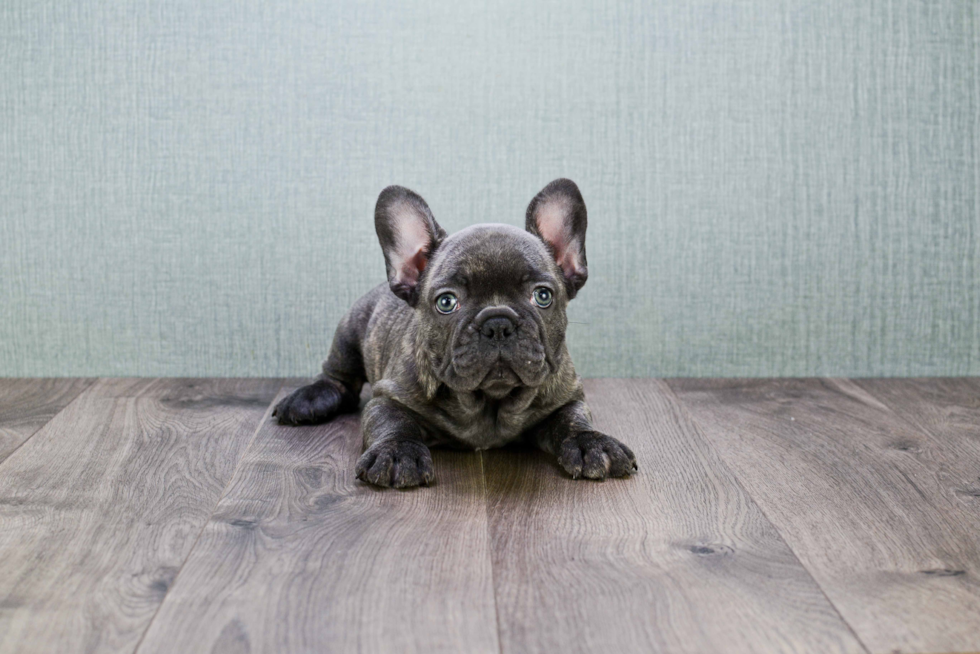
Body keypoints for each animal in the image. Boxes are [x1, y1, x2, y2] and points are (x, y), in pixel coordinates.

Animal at [272, 179, 640, 486]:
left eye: (543, 296)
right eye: (447, 302)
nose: (498, 323)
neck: (490, 402)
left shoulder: (568, 397)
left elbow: (574, 421)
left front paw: (593, 444)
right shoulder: (388, 397)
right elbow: (392, 424)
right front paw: (397, 453)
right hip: (350, 329)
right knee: (338, 378)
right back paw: (310, 400)